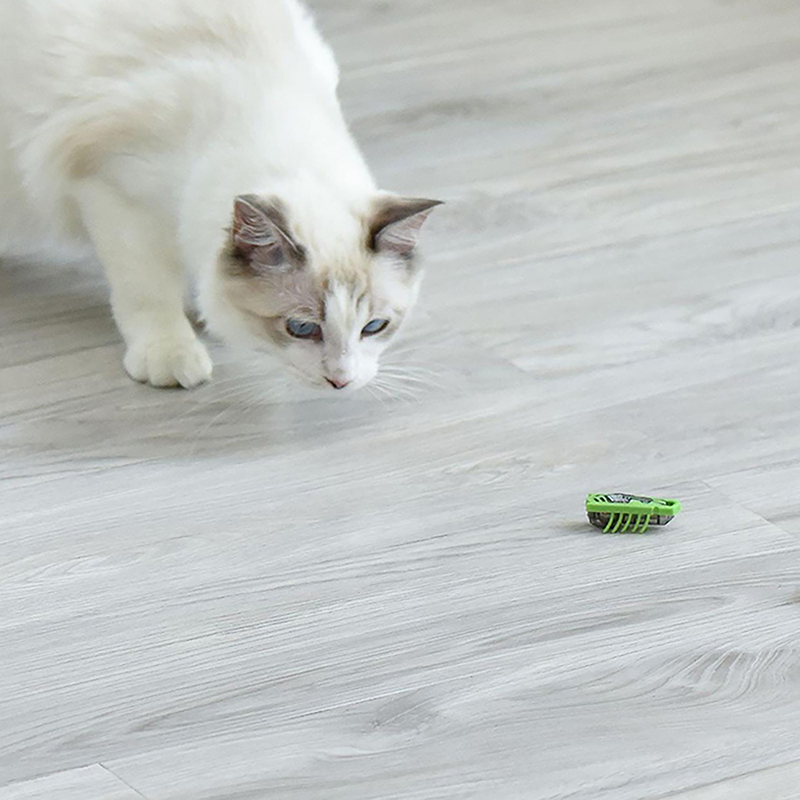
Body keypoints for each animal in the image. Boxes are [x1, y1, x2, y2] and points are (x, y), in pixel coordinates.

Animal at [0, 0, 441, 391]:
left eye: (374, 327)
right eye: (301, 328)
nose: (341, 381)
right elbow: (146, 291)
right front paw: (170, 355)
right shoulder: (114, 193)